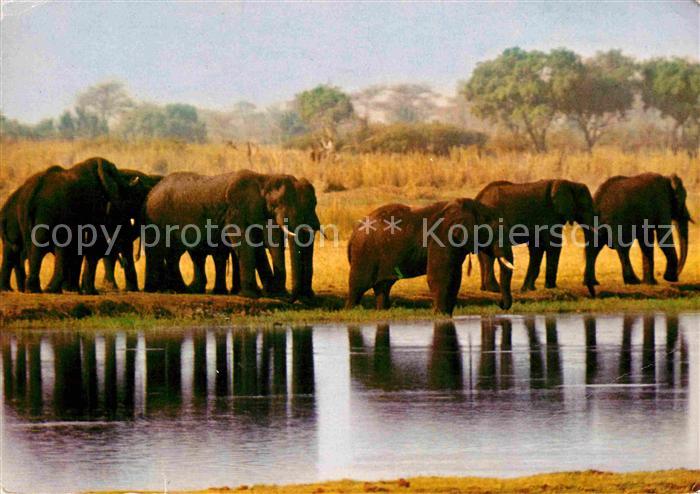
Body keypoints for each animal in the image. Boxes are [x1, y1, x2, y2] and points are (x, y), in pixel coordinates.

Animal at [22, 157, 157, 294]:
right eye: (135, 195)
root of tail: (33, 192)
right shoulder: (97, 203)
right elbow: (94, 242)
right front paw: (90, 292)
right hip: (49, 211)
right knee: (44, 244)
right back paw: (44, 290)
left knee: (36, 244)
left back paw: (39, 290)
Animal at [142, 170, 321, 299]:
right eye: (276, 204)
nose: (292, 298)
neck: (263, 179)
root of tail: (152, 191)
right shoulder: (236, 210)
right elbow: (246, 243)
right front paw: (251, 295)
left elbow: (261, 242)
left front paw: (271, 294)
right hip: (156, 217)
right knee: (159, 251)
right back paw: (161, 291)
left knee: (174, 255)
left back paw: (183, 290)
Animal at [346, 198, 514, 315]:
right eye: (496, 232)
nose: (500, 305)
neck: (474, 207)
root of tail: (353, 232)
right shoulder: (442, 237)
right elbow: (440, 276)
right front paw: (440, 314)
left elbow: (455, 278)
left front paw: (447, 314)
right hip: (364, 253)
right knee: (358, 285)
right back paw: (351, 310)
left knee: (383, 286)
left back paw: (382, 311)